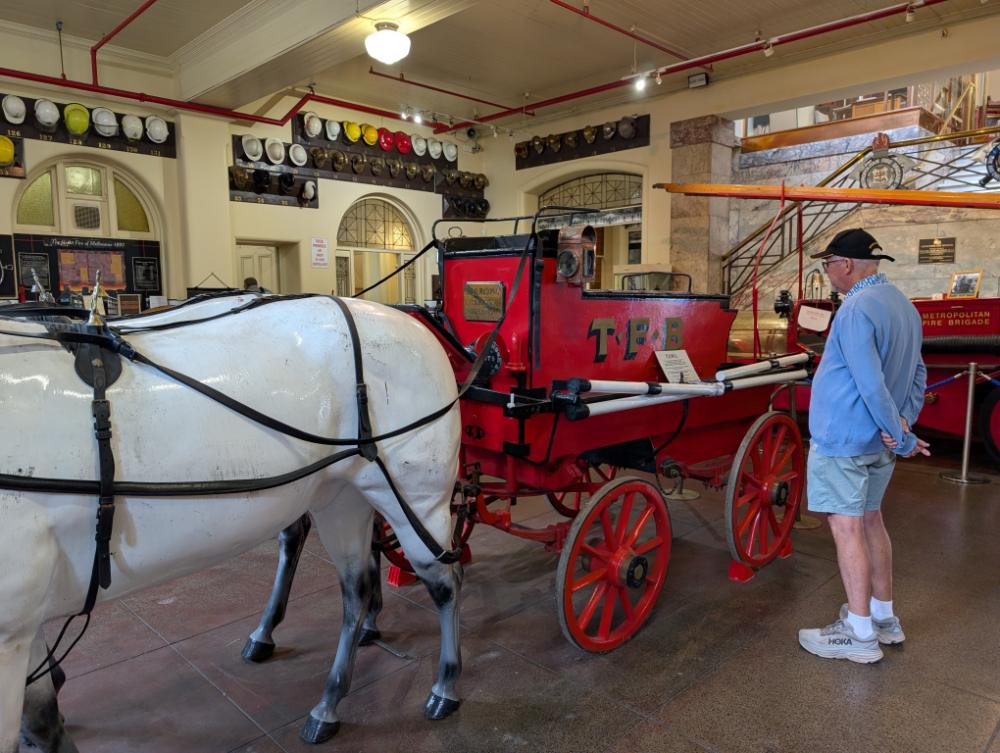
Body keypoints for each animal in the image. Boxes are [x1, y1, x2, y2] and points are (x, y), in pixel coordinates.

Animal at [0, 294, 464, 752]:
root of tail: (408, 320)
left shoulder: (13, 630)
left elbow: (39, 723)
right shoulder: (24, 628)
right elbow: (41, 718)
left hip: (415, 499)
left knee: (446, 582)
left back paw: (445, 685)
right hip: (342, 497)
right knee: (357, 586)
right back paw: (328, 699)